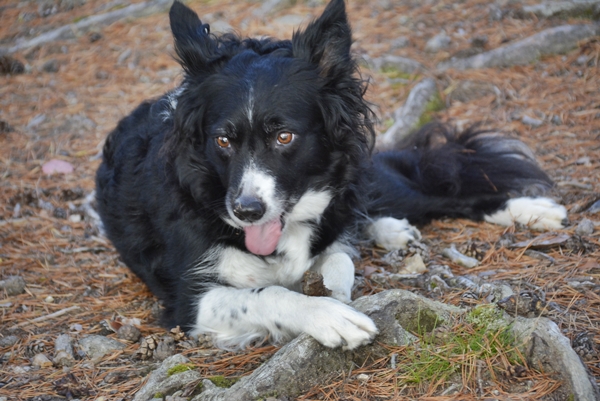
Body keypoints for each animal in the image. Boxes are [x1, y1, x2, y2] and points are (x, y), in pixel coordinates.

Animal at [95, 0, 568, 350]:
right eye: (222, 141)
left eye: (284, 136)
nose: (246, 211)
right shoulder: (189, 301)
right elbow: (271, 293)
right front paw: (329, 315)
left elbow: (338, 260)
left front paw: (335, 293)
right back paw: (392, 230)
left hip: (367, 180)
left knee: (435, 194)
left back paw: (533, 210)